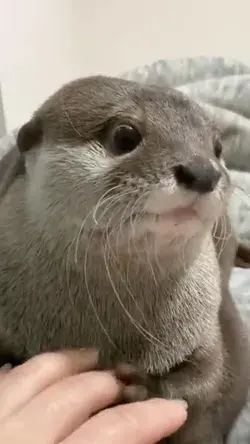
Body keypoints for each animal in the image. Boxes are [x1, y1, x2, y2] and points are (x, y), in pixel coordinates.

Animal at [0, 74, 249, 442]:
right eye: (125, 136)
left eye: (218, 149)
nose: (204, 171)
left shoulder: (205, 326)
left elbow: (211, 377)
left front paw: (146, 388)